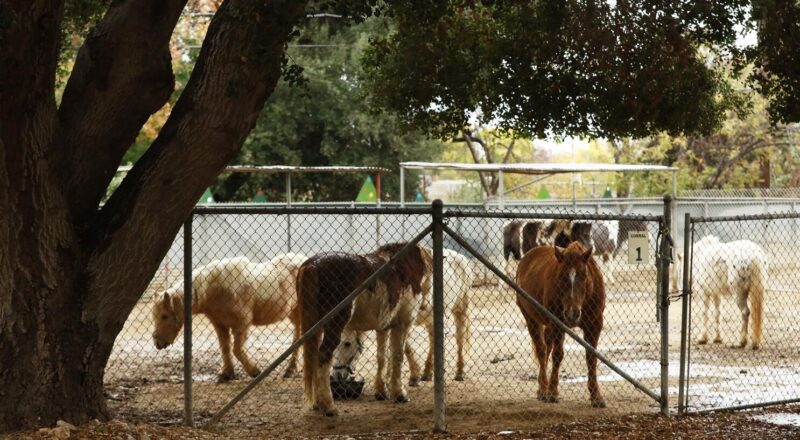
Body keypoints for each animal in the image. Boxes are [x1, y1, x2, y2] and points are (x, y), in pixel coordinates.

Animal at [152, 253, 308, 381]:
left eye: (164, 316)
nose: (157, 342)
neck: (213, 290)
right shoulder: (220, 324)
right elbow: (225, 347)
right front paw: (226, 373)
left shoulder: (242, 324)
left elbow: (236, 350)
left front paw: (254, 371)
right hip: (294, 313)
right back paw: (292, 369)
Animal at [298, 242, 433, 416]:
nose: (426, 305)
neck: (403, 268)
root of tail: (312, 265)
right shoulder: (402, 325)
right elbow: (397, 356)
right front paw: (399, 394)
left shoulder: (383, 328)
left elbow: (382, 357)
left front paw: (381, 392)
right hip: (333, 324)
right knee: (323, 356)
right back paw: (328, 406)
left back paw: (317, 404)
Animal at [334, 248, 474, 386]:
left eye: (347, 344)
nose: (337, 376)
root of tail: (460, 256)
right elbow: (402, 349)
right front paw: (396, 378)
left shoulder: (404, 320)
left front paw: (411, 377)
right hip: (431, 319)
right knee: (433, 340)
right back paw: (427, 372)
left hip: (460, 310)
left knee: (460, 339)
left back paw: (459, 372)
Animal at [516, 242, 607, 408]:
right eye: (561, 276)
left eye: (584, 275)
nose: (572, 313)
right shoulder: (557, 324)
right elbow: (558, 355)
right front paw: (552, 392)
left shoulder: (595, 325)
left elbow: (591, 357)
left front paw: (596, 396)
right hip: (531, 319)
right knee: (542, 351)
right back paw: (544, 389)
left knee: (547, 347)